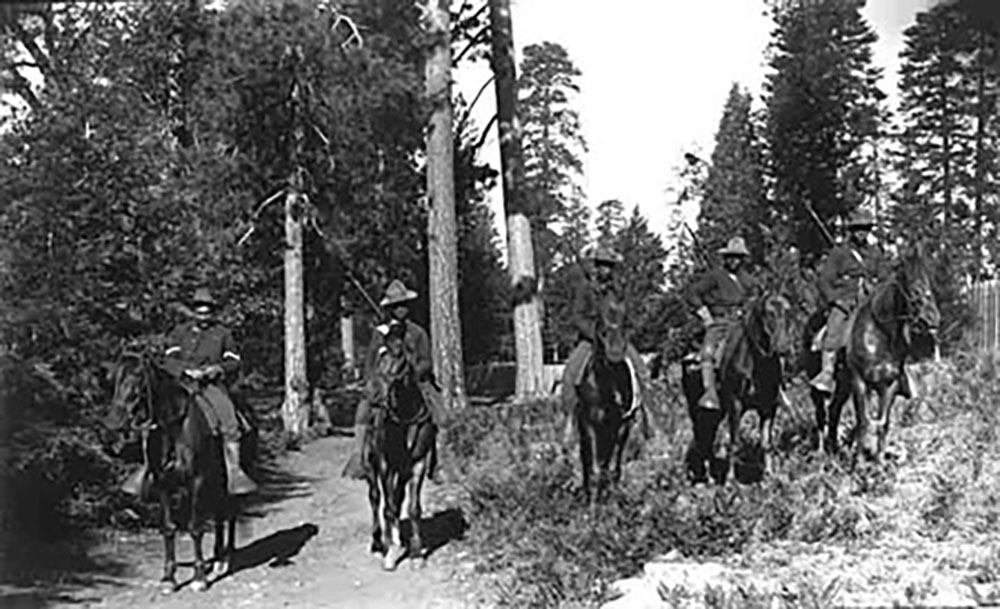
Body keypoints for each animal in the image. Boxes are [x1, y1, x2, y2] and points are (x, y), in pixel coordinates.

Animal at [105, 350, 252, 592]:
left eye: (138, 376)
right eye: (114, 378)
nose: (113, 421)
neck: (175, 429)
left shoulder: (197, 481)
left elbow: (195, 528)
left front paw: (199, 577)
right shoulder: (163, 483)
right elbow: (169, 528)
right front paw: (169, 578)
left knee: (230, 513)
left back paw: (225, 559)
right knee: (219, 515)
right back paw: (218, 557)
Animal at [364, 324, 434, 568]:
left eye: (400, 358)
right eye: (379, 357)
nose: (376, 396)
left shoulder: (418, 462)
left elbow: (412, 508)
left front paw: (416, 553)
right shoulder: (385, 463)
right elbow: (388, 506)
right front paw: (390, 552)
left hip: (402, 471)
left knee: (396, 497)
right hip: (370, 465)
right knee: (376, 498)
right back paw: (379, 542)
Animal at [572, 298, 640, 504]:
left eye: (625, 324)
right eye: (602, 328)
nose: (615, 354)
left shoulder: (623, 426)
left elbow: (612, 468)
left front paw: (612, 500)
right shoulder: (590, 426)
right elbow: (593, 469)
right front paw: (592, 506)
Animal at [684, 294, 792, 484]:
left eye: (788, 311)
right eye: (769, 313)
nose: (783, 347)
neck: (755, 362)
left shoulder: (768, 407)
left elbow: (766, 443)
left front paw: (768, 476)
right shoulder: (736, 405)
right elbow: (734, 442)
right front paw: (730, 480)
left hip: (717, 412)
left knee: (708, 435)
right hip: (695, 408)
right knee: (701, 435)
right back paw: (702, 475)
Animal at [804, 245, 936, 458]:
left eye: (928, 281)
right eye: (912, 286)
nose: (932, 318)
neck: (878, 335)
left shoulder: (888, 385)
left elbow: (883, 423)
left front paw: (879, 460)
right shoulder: (860, 382)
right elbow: (863, 421)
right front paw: (859, 461)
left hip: (843, 386)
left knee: (834, 411)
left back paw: (834, 450)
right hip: (819, 384)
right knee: (821, 414)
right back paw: (822, 452)